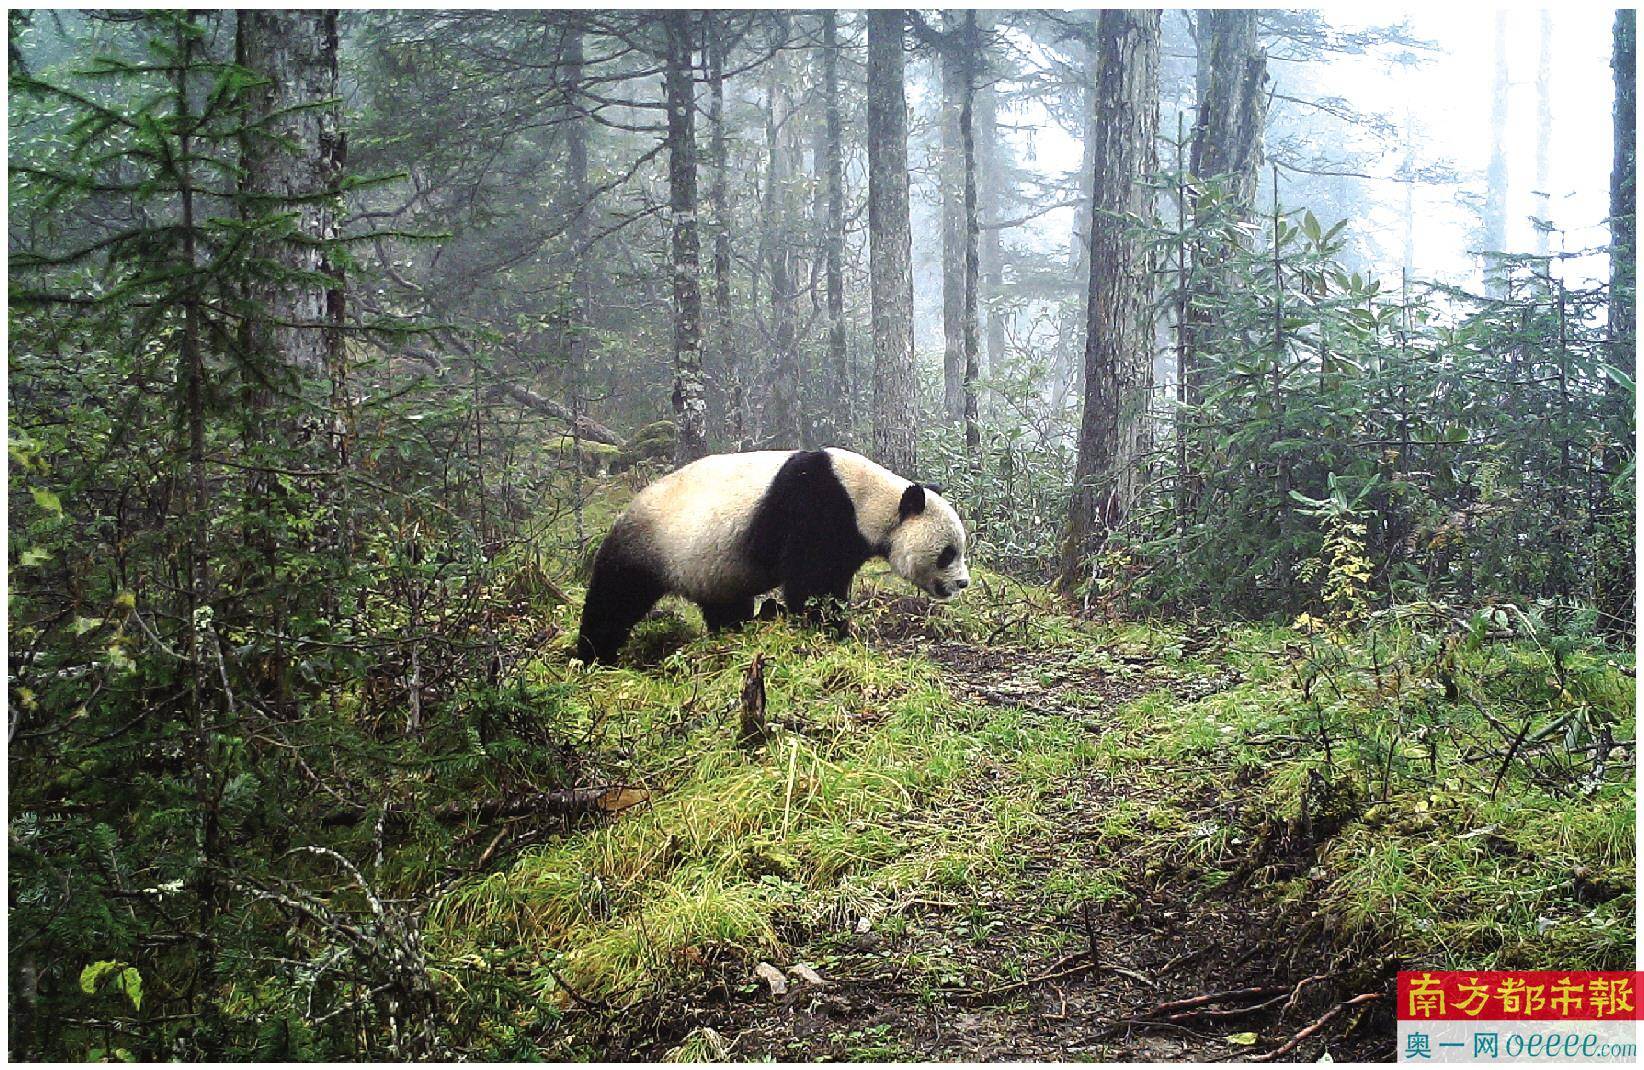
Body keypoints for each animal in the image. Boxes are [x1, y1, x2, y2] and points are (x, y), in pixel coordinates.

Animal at [575, 447, 966, 664]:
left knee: (724, 604)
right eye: (948, 553)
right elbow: (812, 581)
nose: (962, 583)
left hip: (713, 566)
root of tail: (625, 512)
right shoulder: (815, 506)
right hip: (651, 544)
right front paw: (829, 629)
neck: (869, 497)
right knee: (615, 597)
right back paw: (595, 655)